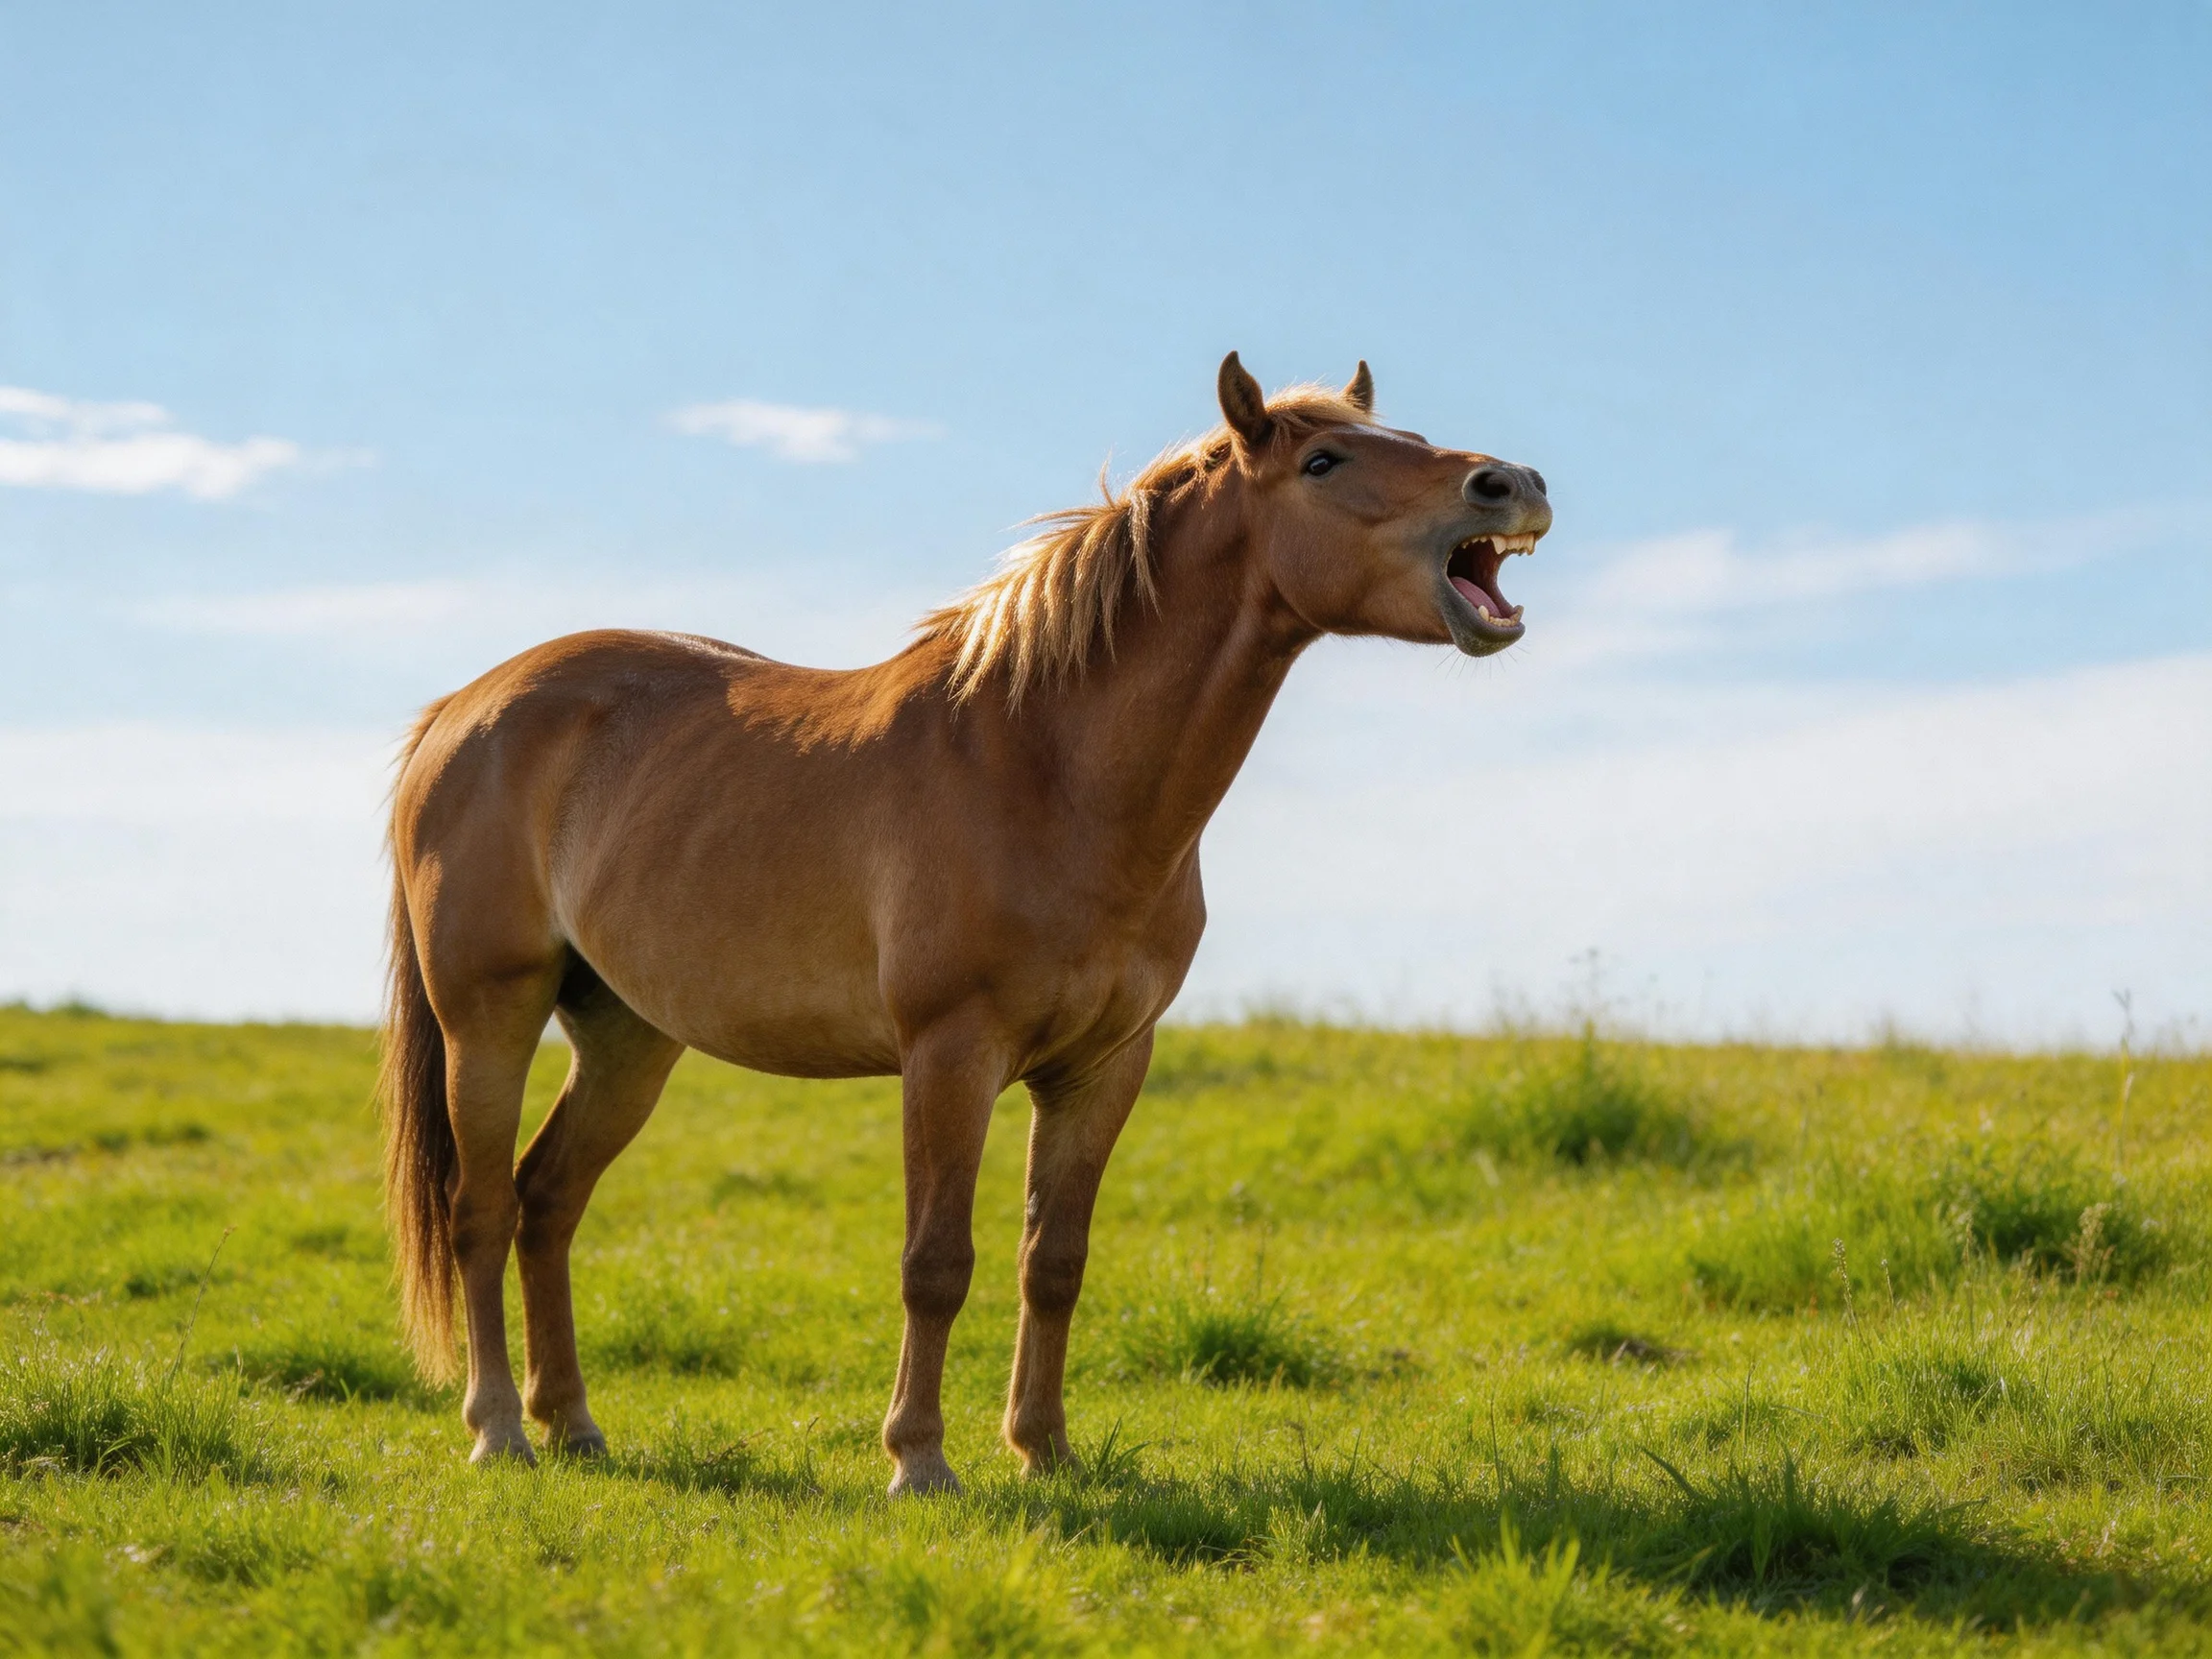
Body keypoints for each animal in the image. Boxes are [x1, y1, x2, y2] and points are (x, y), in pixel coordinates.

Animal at [379, 353, 1552, 1490]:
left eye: (1408, 437)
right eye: (1322, 462)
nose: (1512, 485)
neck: (1046, 770)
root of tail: (461, 713)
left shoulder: (1103, 1067)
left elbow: (1055, 1262)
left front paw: (1045, 1449)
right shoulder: (951, 1054)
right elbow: (936, 1263)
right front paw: (919, 1459)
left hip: (627, 1037)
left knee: (548, 1200)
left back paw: (573, 1425)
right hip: (490, 1019)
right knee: (480, 1211)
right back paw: (499, 1431)